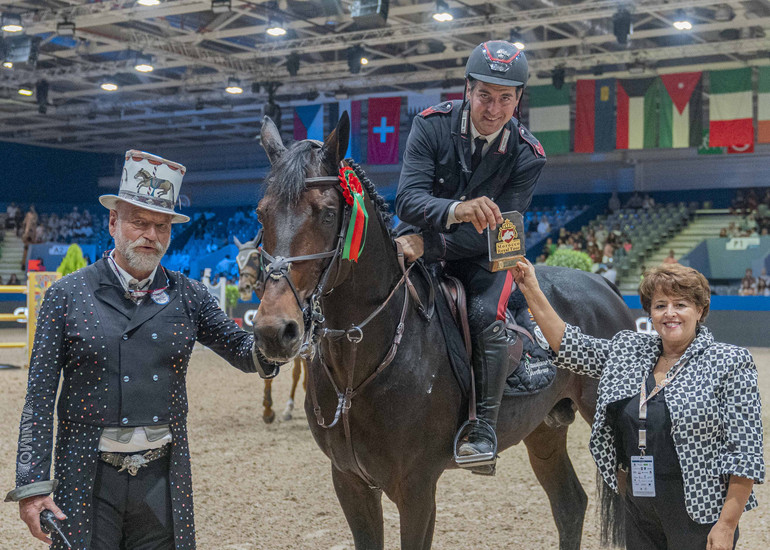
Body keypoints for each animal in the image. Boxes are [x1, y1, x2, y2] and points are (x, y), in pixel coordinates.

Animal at [252, 113, 632, 550]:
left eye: (327, 213)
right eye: (261, 214)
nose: (274, 330)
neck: (362, 360)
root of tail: (602, 285)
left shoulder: (416, 488)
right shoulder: (350, 482)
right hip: (543, 429)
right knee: (570, 504)